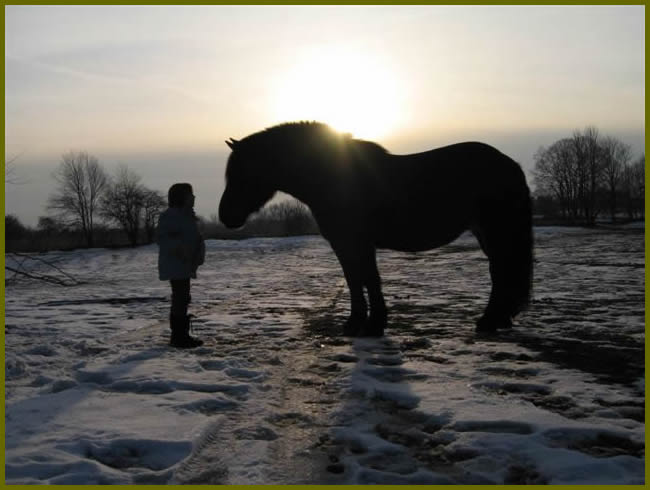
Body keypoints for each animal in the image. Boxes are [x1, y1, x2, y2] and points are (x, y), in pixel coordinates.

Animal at [219, 122, 533, 337]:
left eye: (242, 174)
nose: (225, 216)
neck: (330, 176)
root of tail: (509, 164)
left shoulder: (356, 241)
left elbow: (367, 279)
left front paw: (371, 324)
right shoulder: (345, 244)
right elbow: (355, 279)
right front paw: (358, 322)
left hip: (496, 231)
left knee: (501, 272)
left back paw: (489, 321)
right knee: (502, 272)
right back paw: (498, 319)